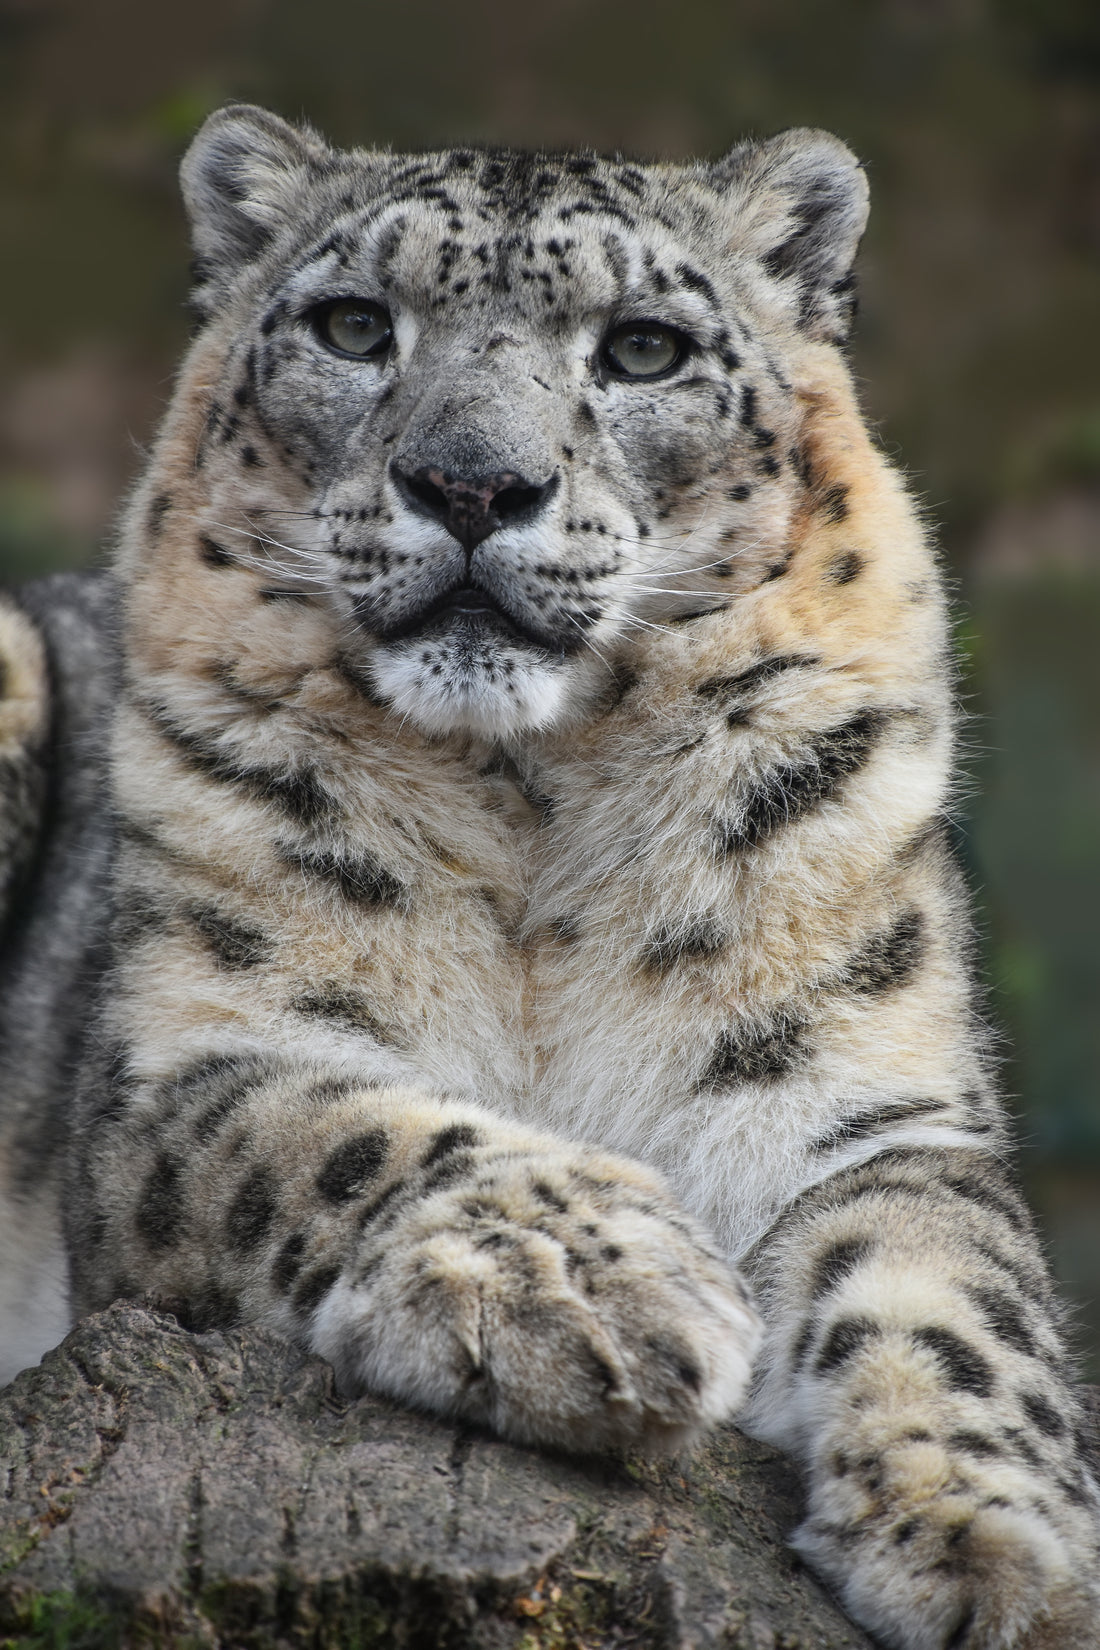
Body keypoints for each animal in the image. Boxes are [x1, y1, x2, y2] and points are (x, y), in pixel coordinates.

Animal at [0, 106, 1095, 1650]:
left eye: (642, 348)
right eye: (354, 325)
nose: (473, 486)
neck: (533, 803)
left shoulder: (863, 1101)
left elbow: (951, 1285)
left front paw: (994, 1546)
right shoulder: (184, 1059)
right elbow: (337, 1129)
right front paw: (596, 1288)